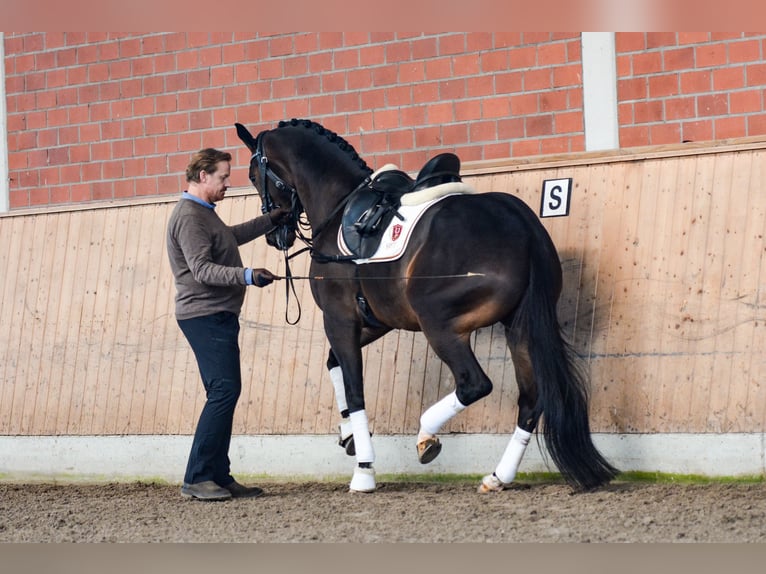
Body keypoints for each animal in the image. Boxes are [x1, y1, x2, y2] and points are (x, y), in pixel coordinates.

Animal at [237, 119, 620, 492]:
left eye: (254, 175)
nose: (274, 235)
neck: (339, 208)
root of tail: (522, 225)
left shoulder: (339, 318)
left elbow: (354, 388)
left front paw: (364, 471)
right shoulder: (376, 321)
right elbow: (334, 366)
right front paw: (349, 436)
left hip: (440, 324)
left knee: (474, 384)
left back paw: (427, 436)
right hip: (519, 326)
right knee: (530, 400)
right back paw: (498, 477)